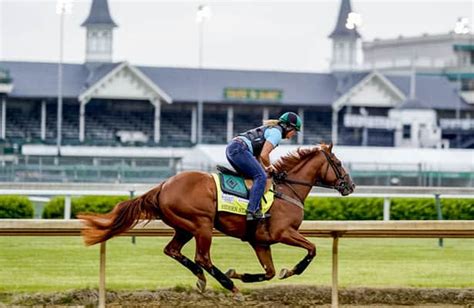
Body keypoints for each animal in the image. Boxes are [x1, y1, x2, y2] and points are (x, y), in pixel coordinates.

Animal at [78, 144, 352, 298]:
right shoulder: (283, 232)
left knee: (173, 250)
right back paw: (229, 286)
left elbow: (270, 272)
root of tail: (163, 185)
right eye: (338, 163)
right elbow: (311, 250)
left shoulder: (260, 242)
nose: (350, 185)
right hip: (202, 224)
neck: (287, 190)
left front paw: (242, 274)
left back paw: (203, 279)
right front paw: (290, 271)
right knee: (202, 257)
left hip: (185, 227)